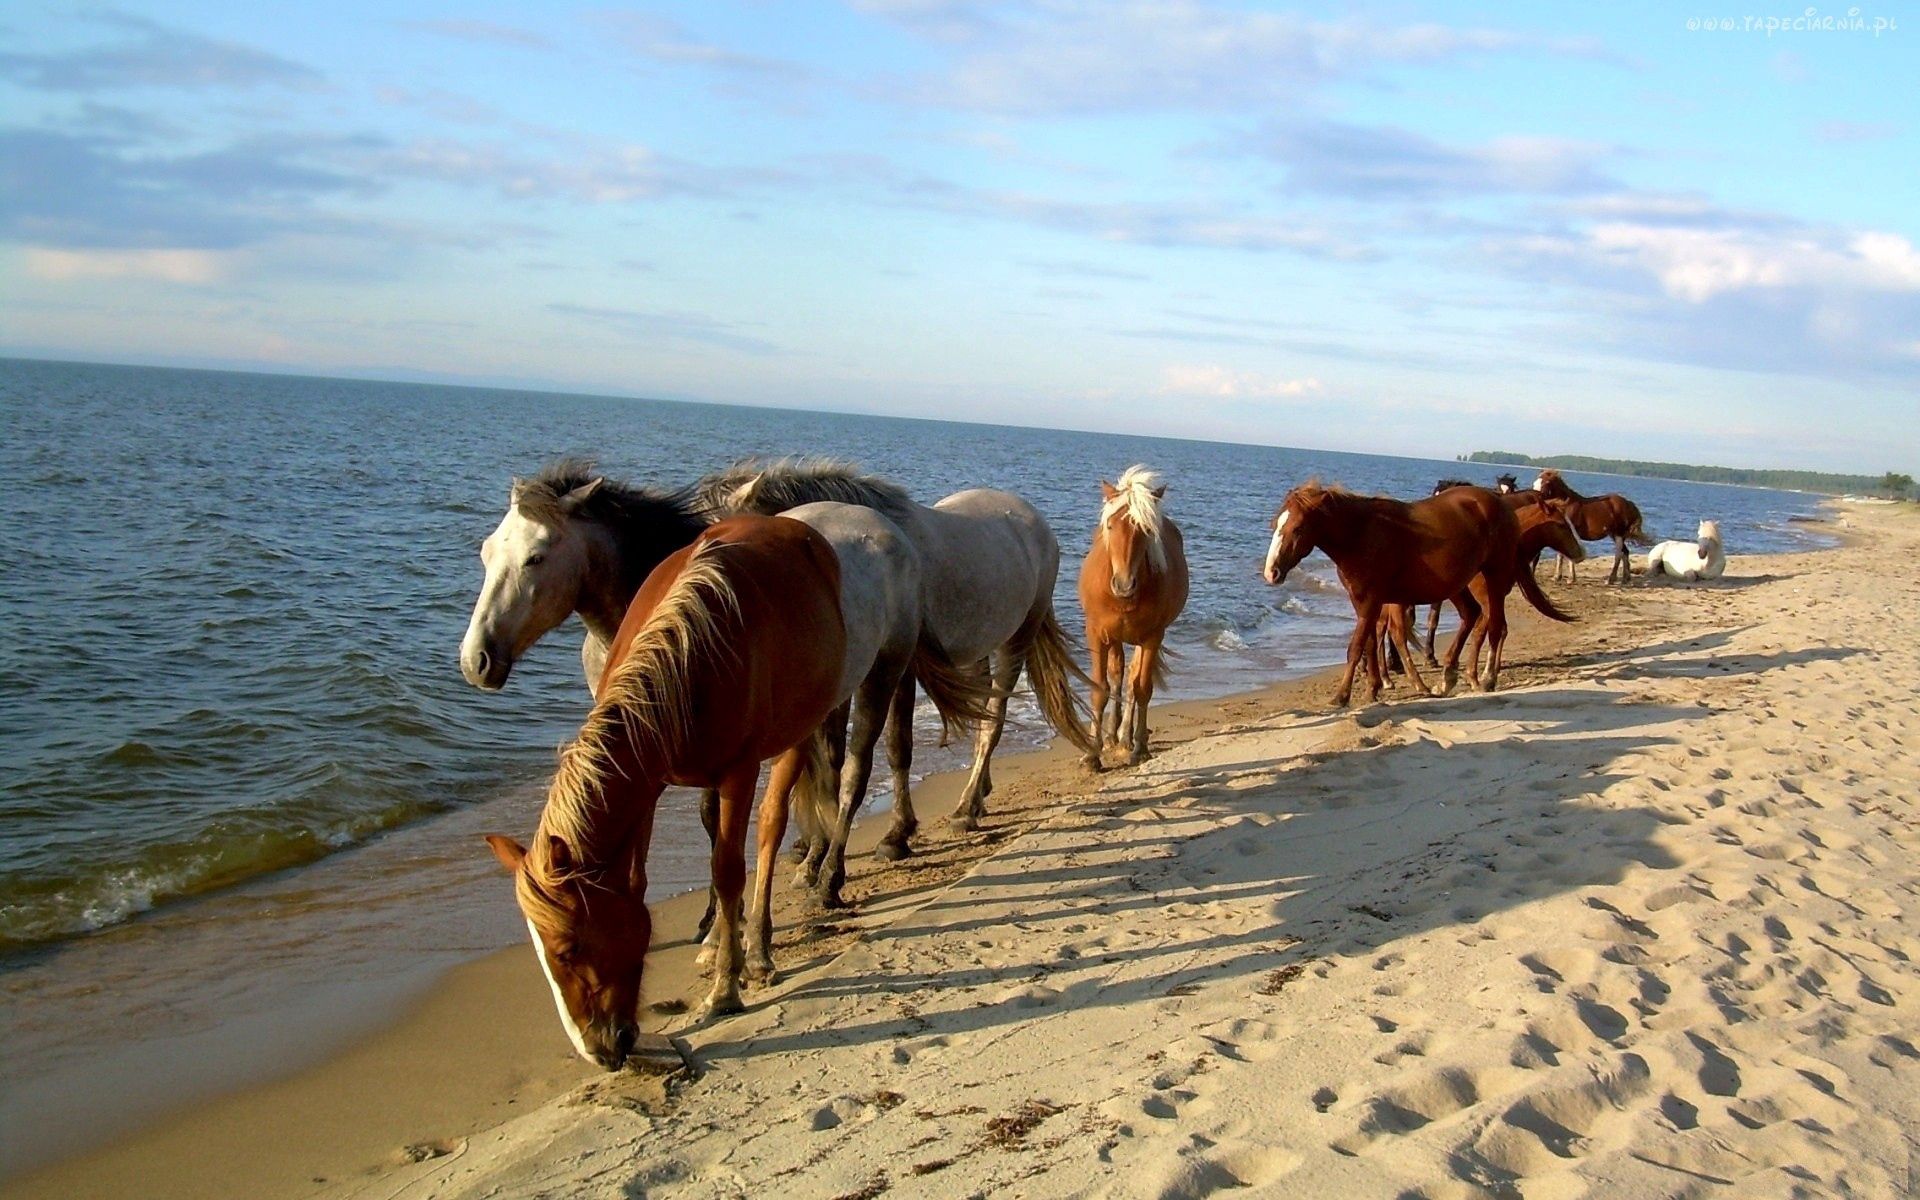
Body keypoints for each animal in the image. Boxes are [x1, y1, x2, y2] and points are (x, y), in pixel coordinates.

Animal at [483, 514, 844, 1067]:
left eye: (568, 949)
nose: (599, 1050)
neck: (687, 660)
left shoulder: (737, 773)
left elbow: (728, 870)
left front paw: (725, 990)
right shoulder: (646, 787)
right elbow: (640, 881)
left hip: (798, 734)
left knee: (769, 827)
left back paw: (758, 951)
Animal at [714, 453, 1098, 837]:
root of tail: (1038, 524)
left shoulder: (898, 670)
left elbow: (897, 748)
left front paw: (898, 832)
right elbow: (833, 754)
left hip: (1015, 641)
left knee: (993, 722)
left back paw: (966, 808)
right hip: (976, 650)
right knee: (982, 714)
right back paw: (979, 796)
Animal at [1082, 462, 1182, 764]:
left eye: (1146, 530)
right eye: (1110, 525)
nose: (1124, 584)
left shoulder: (1152, 637)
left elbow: (1141, 688)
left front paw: (1139, 747)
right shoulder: (1097, 633)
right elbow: (1100, 688)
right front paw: (1092, 754)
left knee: (1130, 681)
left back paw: (1125, 737)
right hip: (1114, 637)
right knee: (1116, 677)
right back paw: (1112, 735)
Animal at [1259, 480, 1559, 702]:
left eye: (1298, 528)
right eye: (1276, 525)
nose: (1271, 572)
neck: (1361, 534)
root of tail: (1502, 505)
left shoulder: (1369, 601)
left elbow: (1356, 647)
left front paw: (1342, 696)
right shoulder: (1364, 602)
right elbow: (1370, 644)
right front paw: (1373, 689)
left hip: (1493, 578)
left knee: (1494, 626)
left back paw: (1486, 679)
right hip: (1457, 585)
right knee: (1471, 615)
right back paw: (1447, 677)